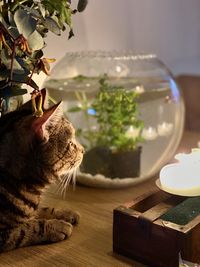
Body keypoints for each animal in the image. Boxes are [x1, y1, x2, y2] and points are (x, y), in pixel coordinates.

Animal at [0, 89, 84, 252]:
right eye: (71, 144)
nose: (84, 150)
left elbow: (43, 209)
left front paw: (64, 212)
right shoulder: (3, 234)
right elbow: (27, 228)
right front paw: (56, 226)